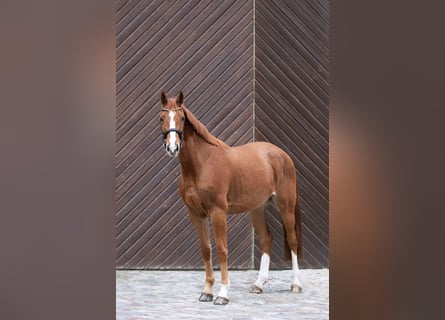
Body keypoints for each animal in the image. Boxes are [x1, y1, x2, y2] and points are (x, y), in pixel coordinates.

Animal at [159, 90, 302, 304]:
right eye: (162, 118)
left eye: (182, 118)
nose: (173, 148)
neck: (203, 164)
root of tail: (281, 154)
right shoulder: (196, 213)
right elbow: (206, 249)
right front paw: (207, 291)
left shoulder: (218, 212)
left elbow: (221, 250)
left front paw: (223, 294)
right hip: (257, 208)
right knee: (266, 239)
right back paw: (258, 285)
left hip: (286, 205)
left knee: (292, 240)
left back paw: (295, 285)